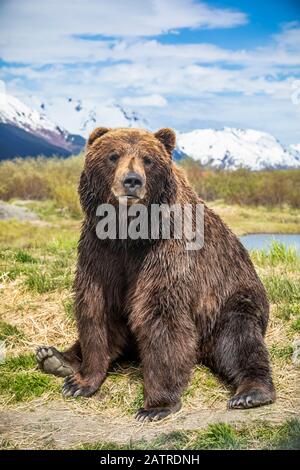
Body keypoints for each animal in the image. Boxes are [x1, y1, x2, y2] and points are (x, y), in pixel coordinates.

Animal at [36, 127, 276, 422]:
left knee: (239, 340)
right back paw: (54, 358)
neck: (129, 233)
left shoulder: (167, 251)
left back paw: (250, 392)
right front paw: (80, 382)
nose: (132, 181)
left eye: (148, 159)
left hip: (230, 300)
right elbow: (97, 309)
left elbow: (160, 313)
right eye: (113, 155)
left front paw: (155, 405)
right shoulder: (100, 252)